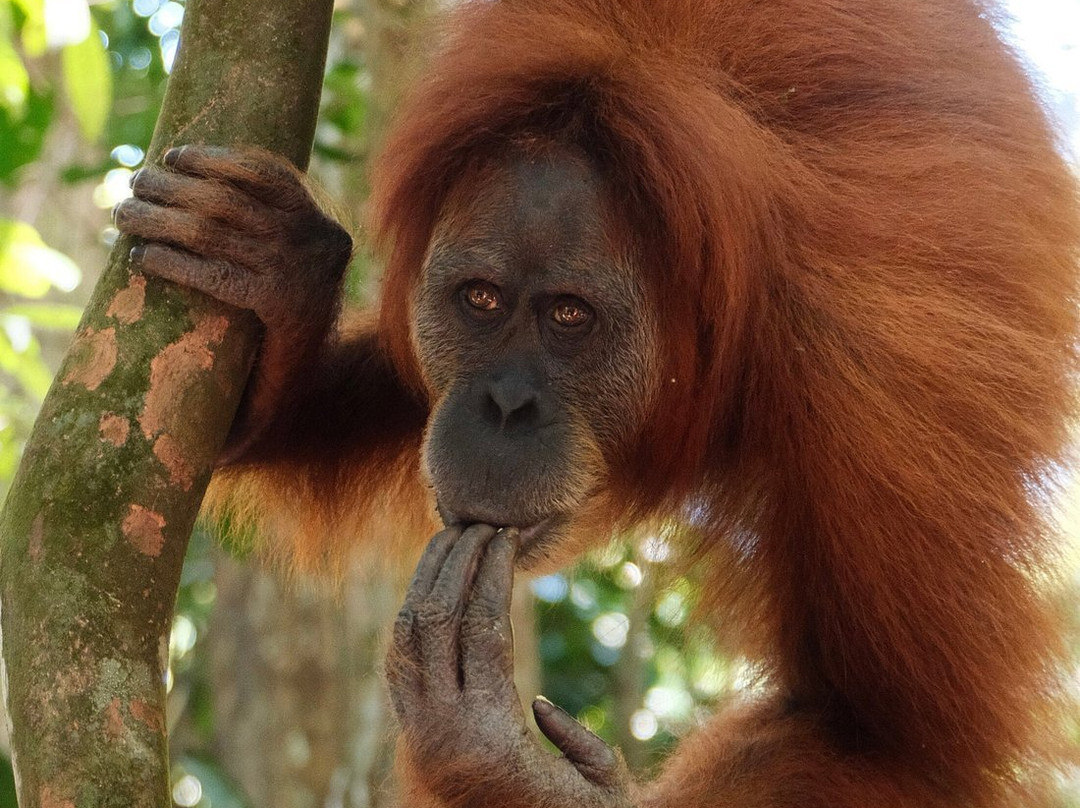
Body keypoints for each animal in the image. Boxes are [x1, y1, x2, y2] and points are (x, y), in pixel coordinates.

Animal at [113, 0, 1080, 806]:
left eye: (569, 317)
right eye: (481, 301)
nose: (504, 406)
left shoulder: (877, 392)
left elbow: (879, 737)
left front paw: (503, 767)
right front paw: (281, 277)